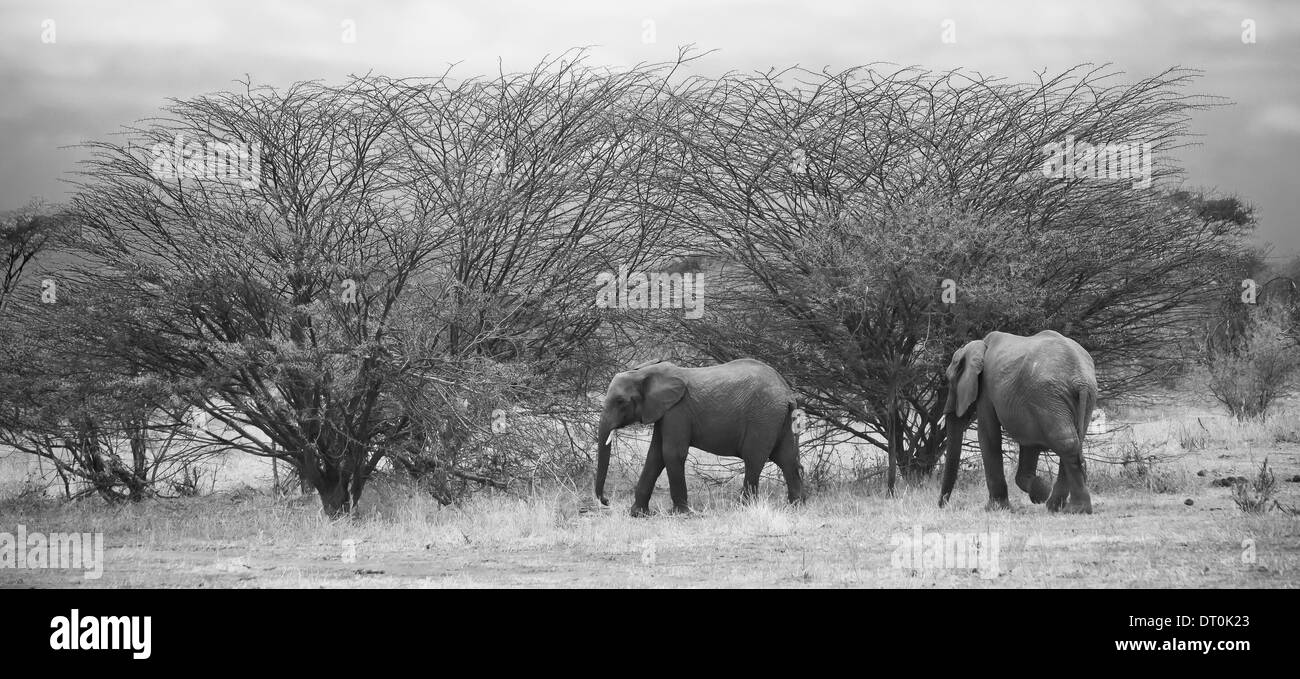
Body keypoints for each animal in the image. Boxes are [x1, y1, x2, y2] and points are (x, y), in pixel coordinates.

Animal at [595, 356, 800, 509]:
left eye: (620, 401)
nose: (607, 501)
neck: (645, 372)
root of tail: (787, 392)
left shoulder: (677, 410)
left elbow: (671, 453)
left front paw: (681, 513)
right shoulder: (664, 411)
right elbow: (655, 456)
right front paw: (638, 514)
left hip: (763, 416)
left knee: (753, 459)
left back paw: (743, 508)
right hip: (781, 418)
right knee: (788, 458)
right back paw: (796, 507)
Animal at [935, 329, 1097, 512]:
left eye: (949, 381)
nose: (942, 505)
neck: (979, 345)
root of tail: (1080, 379)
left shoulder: (987, 390)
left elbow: (987, 435)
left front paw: (995, 508)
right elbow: (1030, 444)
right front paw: (1040, 490)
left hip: (1048, 396)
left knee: (1066, 443)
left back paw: (1075, 509)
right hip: (1077, 397)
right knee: (1074, 442)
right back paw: (1055, 506)